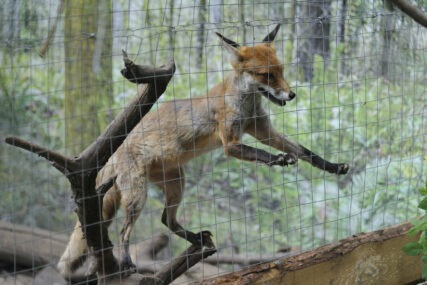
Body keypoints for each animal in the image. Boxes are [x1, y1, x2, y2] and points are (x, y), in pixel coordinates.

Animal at [57, 24, 352, 276]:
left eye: (281, 71)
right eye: (267, 75)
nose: (291, 95)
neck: (246, 105)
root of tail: (115, 149)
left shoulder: (263, 130)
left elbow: (305, 151)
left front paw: (335, 167)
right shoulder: (231, 144)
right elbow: (265, 155)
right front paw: (278, 160)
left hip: (177, 183)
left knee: (167, 220)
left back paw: (195, 238)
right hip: (137, 196)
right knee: (123, 232)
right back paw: (127, 262)